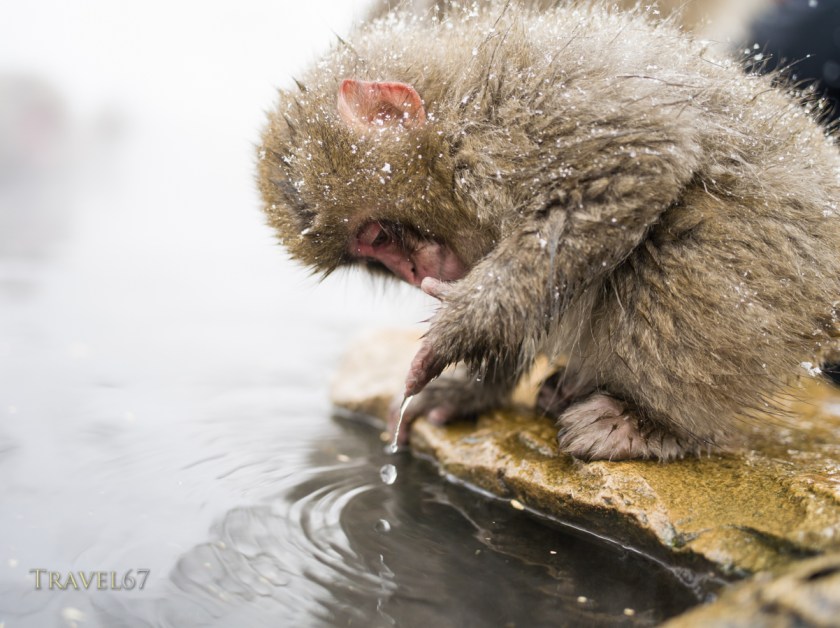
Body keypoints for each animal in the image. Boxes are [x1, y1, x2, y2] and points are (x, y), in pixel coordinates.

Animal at [258, 1, 840, 460]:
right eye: (375, 260)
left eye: (377, 237)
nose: (415, 271)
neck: (451, 115)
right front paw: (473, 389)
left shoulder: (515, 118)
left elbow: (633, 163)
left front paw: (456, 329)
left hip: (793, 274)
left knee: (681, 244)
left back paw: (652, 421)